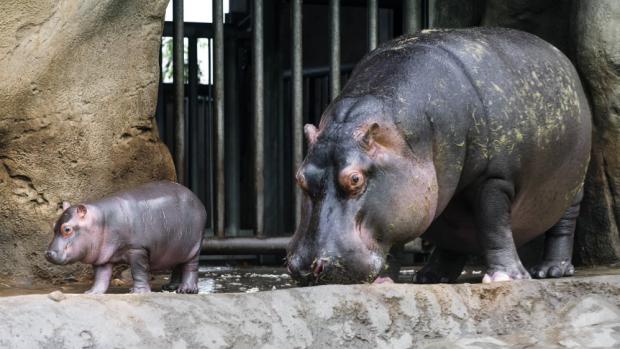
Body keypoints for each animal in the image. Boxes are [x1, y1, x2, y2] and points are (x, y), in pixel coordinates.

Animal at [46, 181, 206, 292]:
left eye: (67, 229)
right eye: (53, 225)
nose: (48, 253)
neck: (101, 220)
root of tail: (196, 199)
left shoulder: (137, 249)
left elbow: (139, 271)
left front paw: (138, 292)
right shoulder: (102, 256)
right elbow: (101, 277)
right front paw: (92, 292)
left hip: (194, 246)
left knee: (190, 267)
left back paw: (186, 290)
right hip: (178, 247)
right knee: (178, 265)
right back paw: (170, 287)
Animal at [286, 26, 592, 282]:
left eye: (355, 179)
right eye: (300, 177)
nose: (306, 268)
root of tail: (559, 54)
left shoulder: (494, 179)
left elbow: (494, 226)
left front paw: (505, 278)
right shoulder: (404, 195)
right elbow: (395, 234)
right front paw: (386, 280)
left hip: (572, 186)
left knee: (563, 224)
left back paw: (550, 270)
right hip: (444, 196)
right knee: (452, 234)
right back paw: (431, 276)